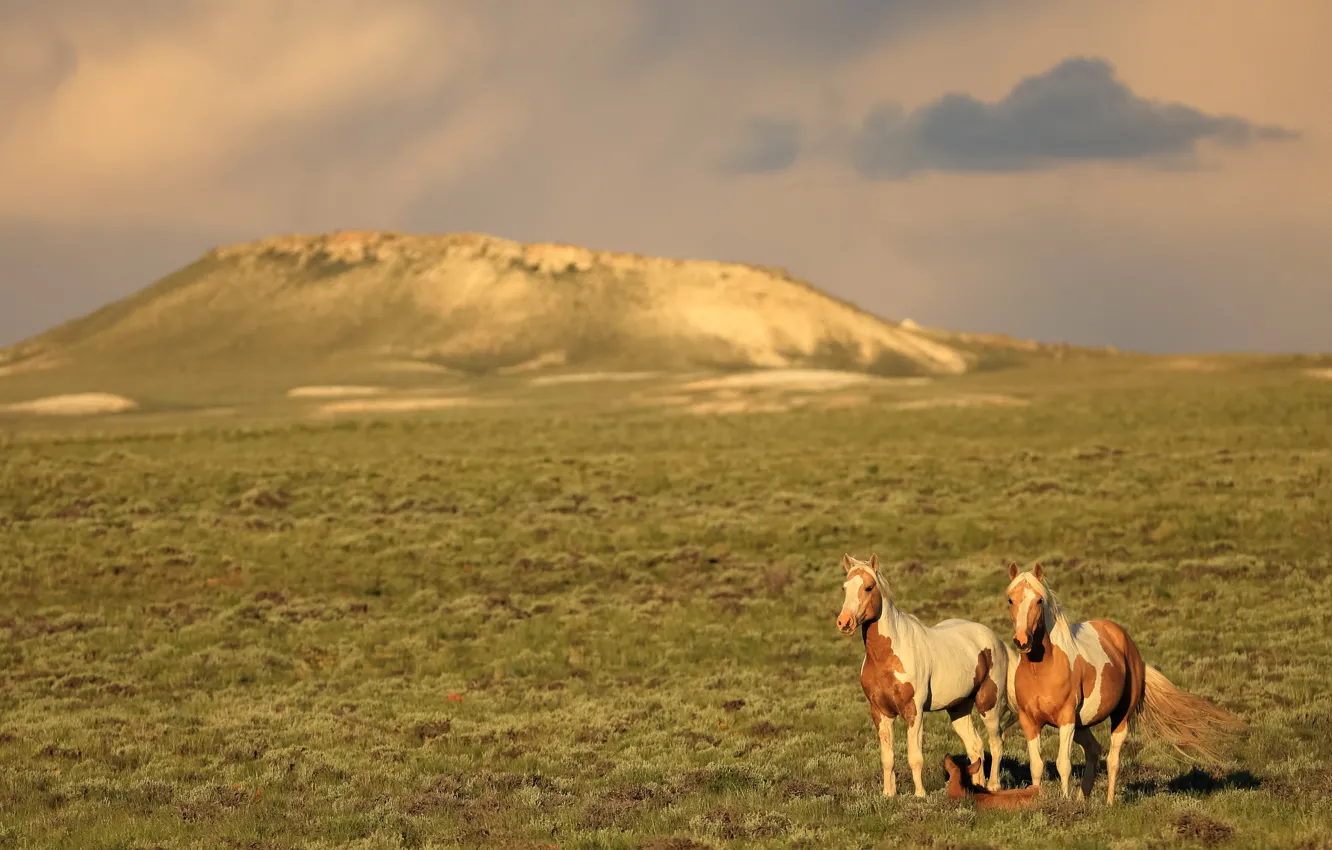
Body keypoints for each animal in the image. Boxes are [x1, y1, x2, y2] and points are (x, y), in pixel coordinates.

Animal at [837, 553, 1012, 797]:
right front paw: (888, 794)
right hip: (958, 708)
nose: (844, 622)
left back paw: (994, 785)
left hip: (989, 705)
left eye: (869, 587)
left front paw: (920, 794)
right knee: (975, 746)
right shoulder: (880, 712)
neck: (889, 655)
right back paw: (977, 787)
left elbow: (915, 757)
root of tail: (996, 640)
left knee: (996, 743)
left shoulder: (914, 711)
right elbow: (887, 758)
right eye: (845, 588)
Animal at [1004, 562, 1245, 804]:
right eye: (1010, 600)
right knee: (1094, 750)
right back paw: (1083, 799)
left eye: (1039, 600)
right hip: (1083, 724)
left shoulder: (1066, 719)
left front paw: (1065, 802)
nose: (1022, 640)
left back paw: (1109, 802)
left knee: (1112, 759)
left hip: (1119, 716)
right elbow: (1037, 766)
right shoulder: (1030, 722)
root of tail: (1126, 641)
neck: (1043, 668)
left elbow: (1064, 764)